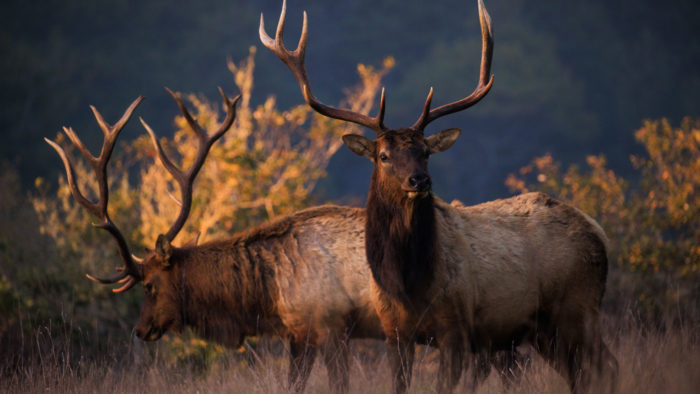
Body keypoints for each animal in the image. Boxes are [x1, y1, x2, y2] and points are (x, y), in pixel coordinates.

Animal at [44, 87, 386, 392]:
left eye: (150, 285)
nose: (140, 329)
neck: (269, 296)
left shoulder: (330, 325)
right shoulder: (300, 333)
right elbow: (295, 384)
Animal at [262, 0, 616, 392]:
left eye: (425, 152)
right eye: (383, 156)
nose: (419, 180)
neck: (409, 285)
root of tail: (598, 232)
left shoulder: (455, 328)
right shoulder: (394, 332)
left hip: (577, 307)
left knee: (604, 365)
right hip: (545, 328)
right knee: (588, 370)